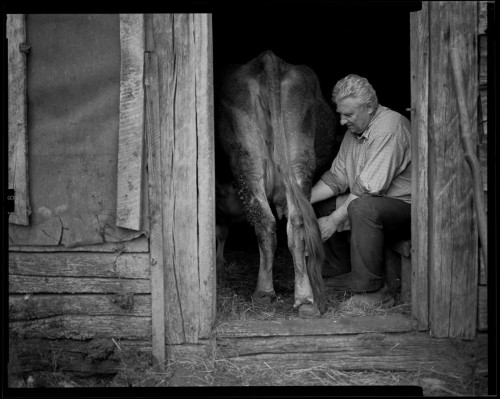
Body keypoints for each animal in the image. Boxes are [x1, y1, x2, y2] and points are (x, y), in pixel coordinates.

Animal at [215, 50, 336, 318]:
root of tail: (268, 59)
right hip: (297, 155)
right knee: (292, 222)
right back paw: (304, 299)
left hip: (249, 159)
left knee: (265, 221)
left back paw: (265, 293)